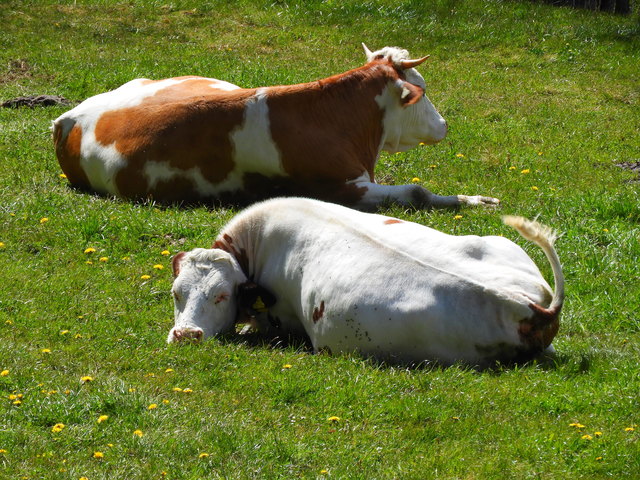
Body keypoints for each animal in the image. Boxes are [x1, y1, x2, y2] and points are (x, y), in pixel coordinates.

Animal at [52, 44, 500, 208]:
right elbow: (417, 191)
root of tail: (70, 115)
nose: (444, 124)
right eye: (423, 90)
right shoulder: (342, 188)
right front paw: (477, 201)